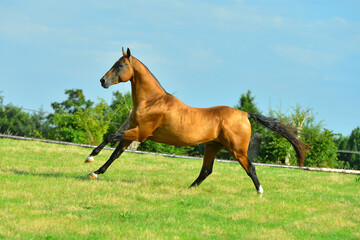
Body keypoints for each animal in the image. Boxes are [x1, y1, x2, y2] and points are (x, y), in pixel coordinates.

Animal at [85, 47, 306, 194]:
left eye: (120, 65)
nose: (102, 81)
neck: (151, 101)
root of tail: (245, 114)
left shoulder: (140, 133)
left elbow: (109, 136)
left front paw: (90, 158)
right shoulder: (131, 133)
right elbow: (115, 154)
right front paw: (95, 172)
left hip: (237, 150)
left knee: (249, 167)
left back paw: (260, 192)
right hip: (212, 146)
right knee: (206, 170)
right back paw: (189, 189)